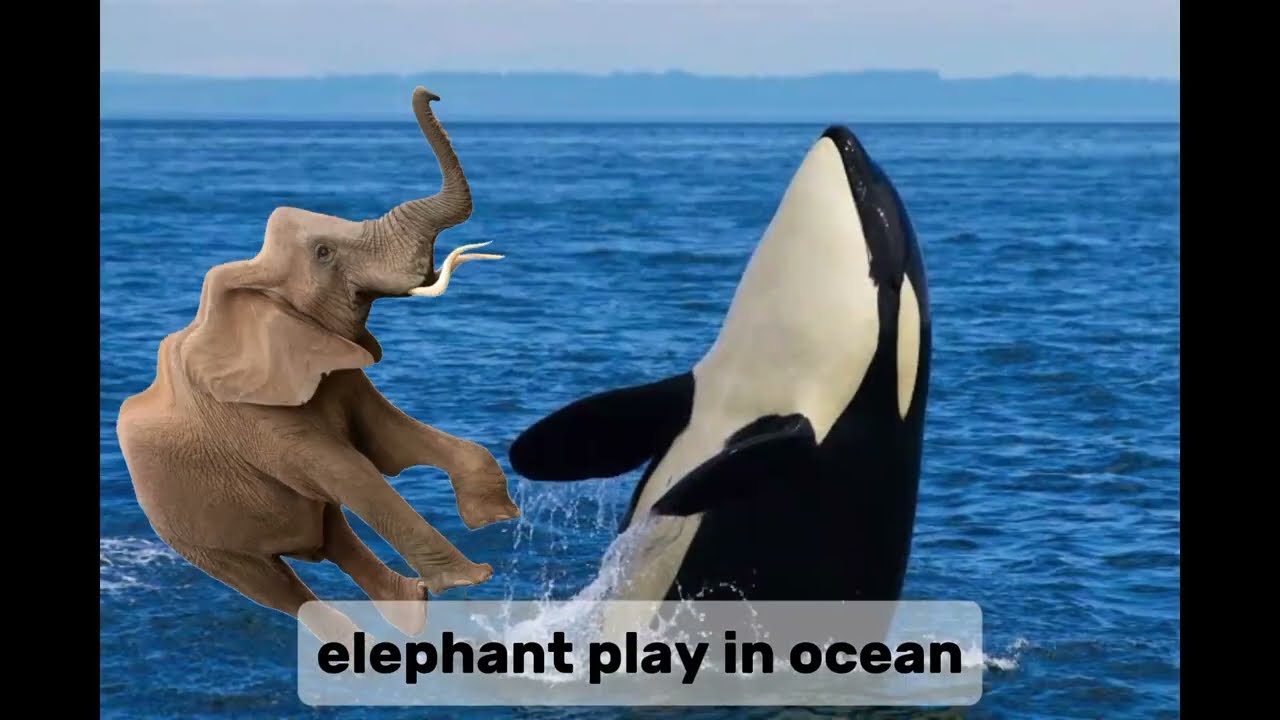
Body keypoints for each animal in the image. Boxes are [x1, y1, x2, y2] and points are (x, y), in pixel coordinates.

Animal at [115, 87, 520, 642]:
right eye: (325, 253)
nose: (432, 92)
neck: (250, 278)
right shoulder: (252, 415)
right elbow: (352, 470)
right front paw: (472, 577)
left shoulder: (333, 369)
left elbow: (388, 439)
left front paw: (500, 520)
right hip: (188, 531)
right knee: (275, 583)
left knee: (329, 534)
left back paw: (411, 608)